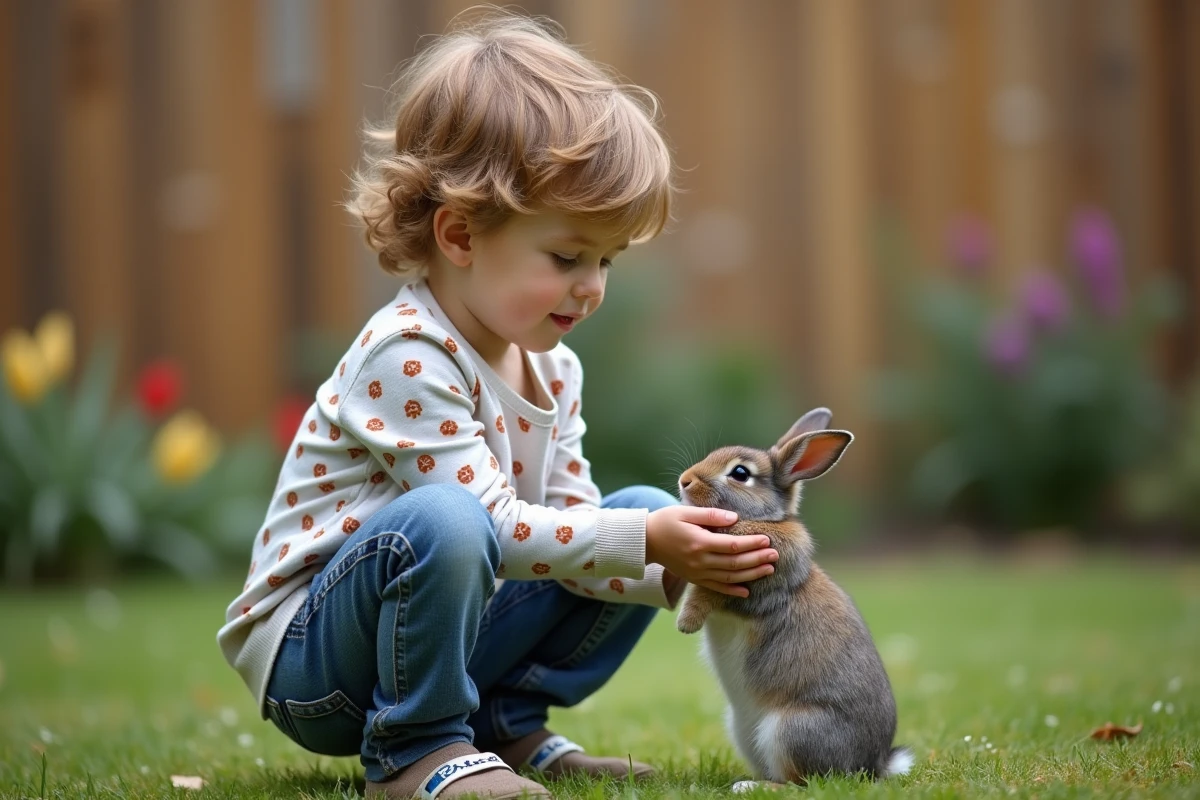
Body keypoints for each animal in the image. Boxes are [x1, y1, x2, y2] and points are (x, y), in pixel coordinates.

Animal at [675, 407, 912, 791]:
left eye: (740, 473)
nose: (685, 481)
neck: (760, 519)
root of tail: (871, 765)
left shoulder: (755, 588)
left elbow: (710, 592)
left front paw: (687, 622)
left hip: (791, 731)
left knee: (802, 782)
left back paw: (749, 787)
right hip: (744, 729)